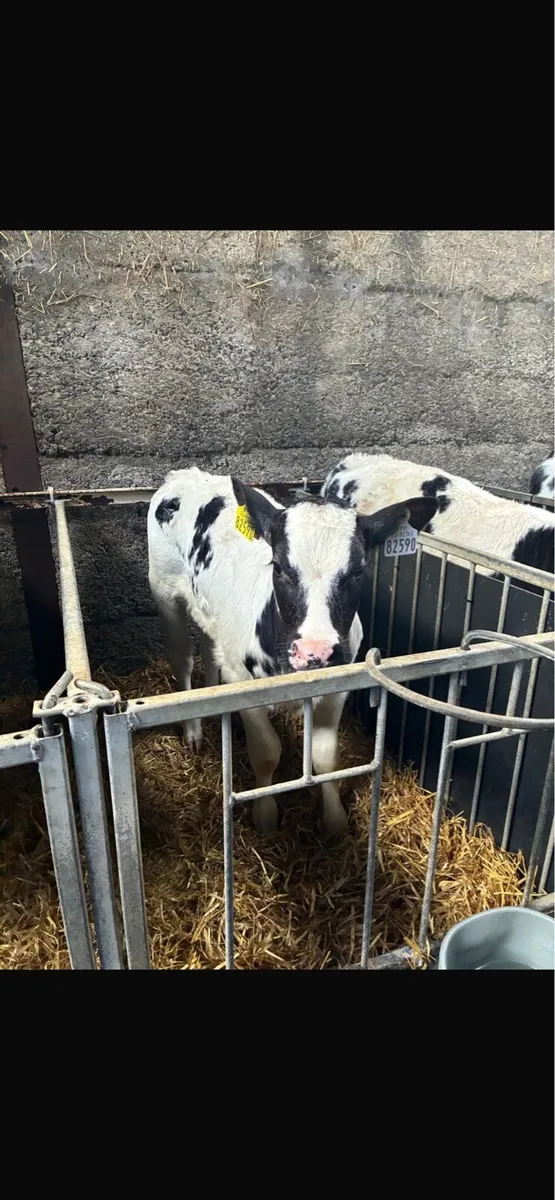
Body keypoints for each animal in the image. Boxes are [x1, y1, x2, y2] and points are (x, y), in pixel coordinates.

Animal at [148, 467, 437, 836]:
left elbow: (326, 757)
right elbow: (267, 752)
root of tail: (186, 474)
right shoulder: (242, 682)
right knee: (183, 657)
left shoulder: (338, 685)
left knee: (210, 646)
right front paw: (265, 816)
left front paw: (334, 820)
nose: (314, 652)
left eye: (359, 571)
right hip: (163, 590)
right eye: (279, 567)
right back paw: (193, 731)